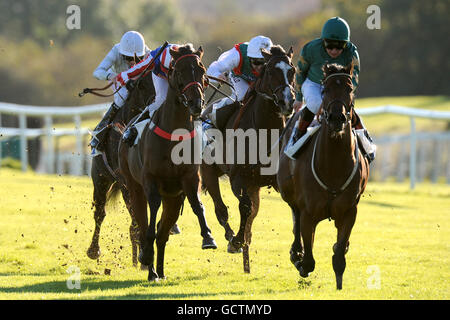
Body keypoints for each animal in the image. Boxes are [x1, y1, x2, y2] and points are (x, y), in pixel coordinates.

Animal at [116, 44, 214, 280]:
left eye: (202, 70)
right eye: (179, 71)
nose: (196, 104)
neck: (174, 135)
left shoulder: (189, 179)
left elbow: (197, 205)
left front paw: (208, 237)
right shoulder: (150, 180)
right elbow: (151, 217)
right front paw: (145, 255)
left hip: (174, 198)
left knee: (162, 235)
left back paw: (158, 271)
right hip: (133, 187)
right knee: (143, 224)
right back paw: (148, 264)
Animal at [200, 45, 296, 272]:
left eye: (292, 71)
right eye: (270, 71)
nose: (287, 101)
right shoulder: (238, 179)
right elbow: (244, 207)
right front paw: (237, 241)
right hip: (209, 172)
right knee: (221, 210)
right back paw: (229, 236)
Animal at [278, 62, 370, 290]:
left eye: (349, 88)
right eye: (325, 89)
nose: (337, 118)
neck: (333, 168)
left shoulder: (349, 211)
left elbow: (339, 255)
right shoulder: (308, 212)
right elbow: (308, 260)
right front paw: (300, 260)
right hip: (288, 193)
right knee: (295, 217)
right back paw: (296, 252)